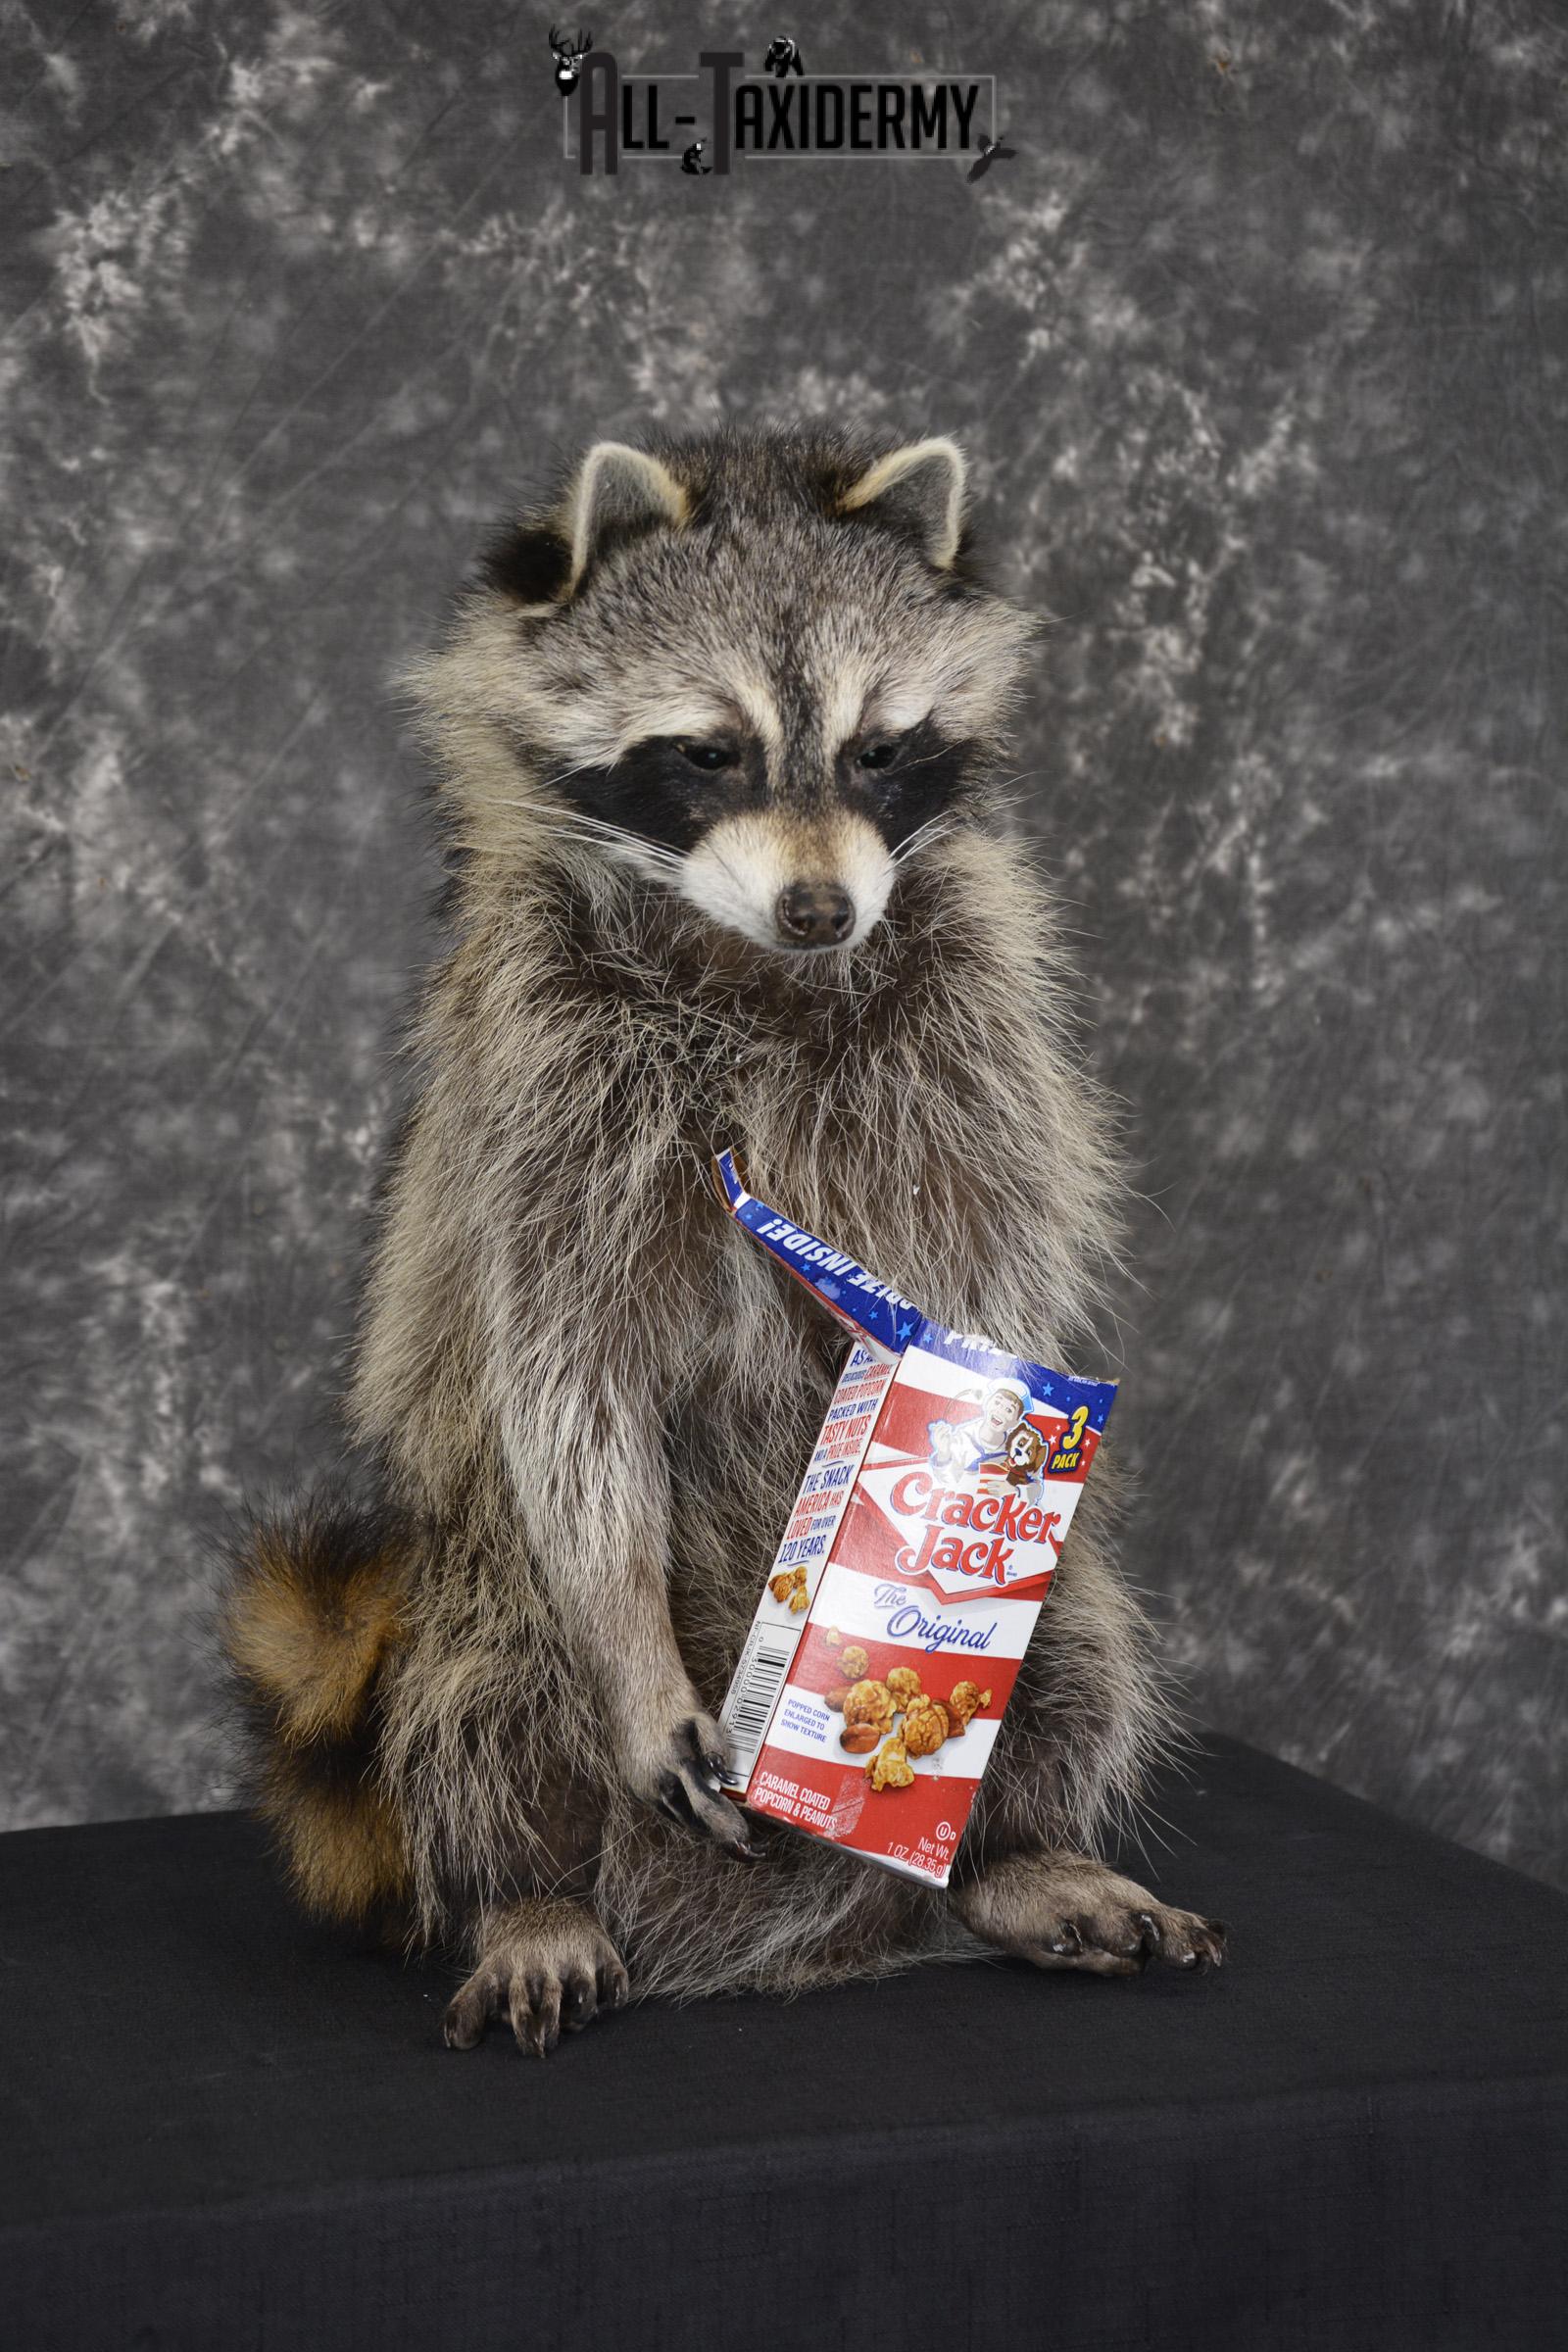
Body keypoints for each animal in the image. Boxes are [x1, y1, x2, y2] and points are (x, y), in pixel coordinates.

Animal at [221, 424, 1225, 2053]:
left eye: (878, 748)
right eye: (709, 752)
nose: (821, 908)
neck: (752, 961)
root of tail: (774, 1940)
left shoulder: (971, 1030)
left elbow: (986, 1283)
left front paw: (976, 1443)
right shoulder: (544, 1077)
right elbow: (562, 1367)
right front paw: (628, 1670)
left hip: (1042, 1629)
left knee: (1073, 1636)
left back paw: (1017, 1851)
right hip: (469, 1573)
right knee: (489, 1677)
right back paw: (527, 1887)